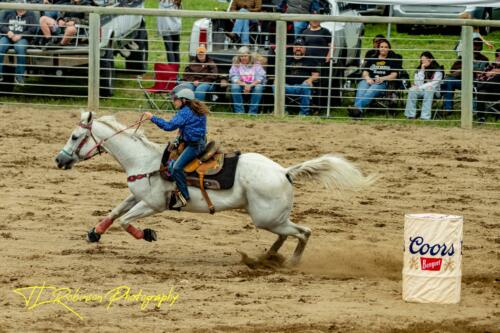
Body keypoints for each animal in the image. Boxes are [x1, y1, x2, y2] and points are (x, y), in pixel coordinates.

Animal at [54, 111, 376, 264]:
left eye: (74, 137)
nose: (59, 159)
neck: (145, 160)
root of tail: (284, 172)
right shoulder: (137, 195)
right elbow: (114, 212)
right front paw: (94, 233)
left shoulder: (153, 204)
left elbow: (125, 221)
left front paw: (147, 234)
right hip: (271, 219)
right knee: (287, 234)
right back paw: (267, 257)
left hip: (267, 218)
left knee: (303, 232)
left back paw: (290, 262)